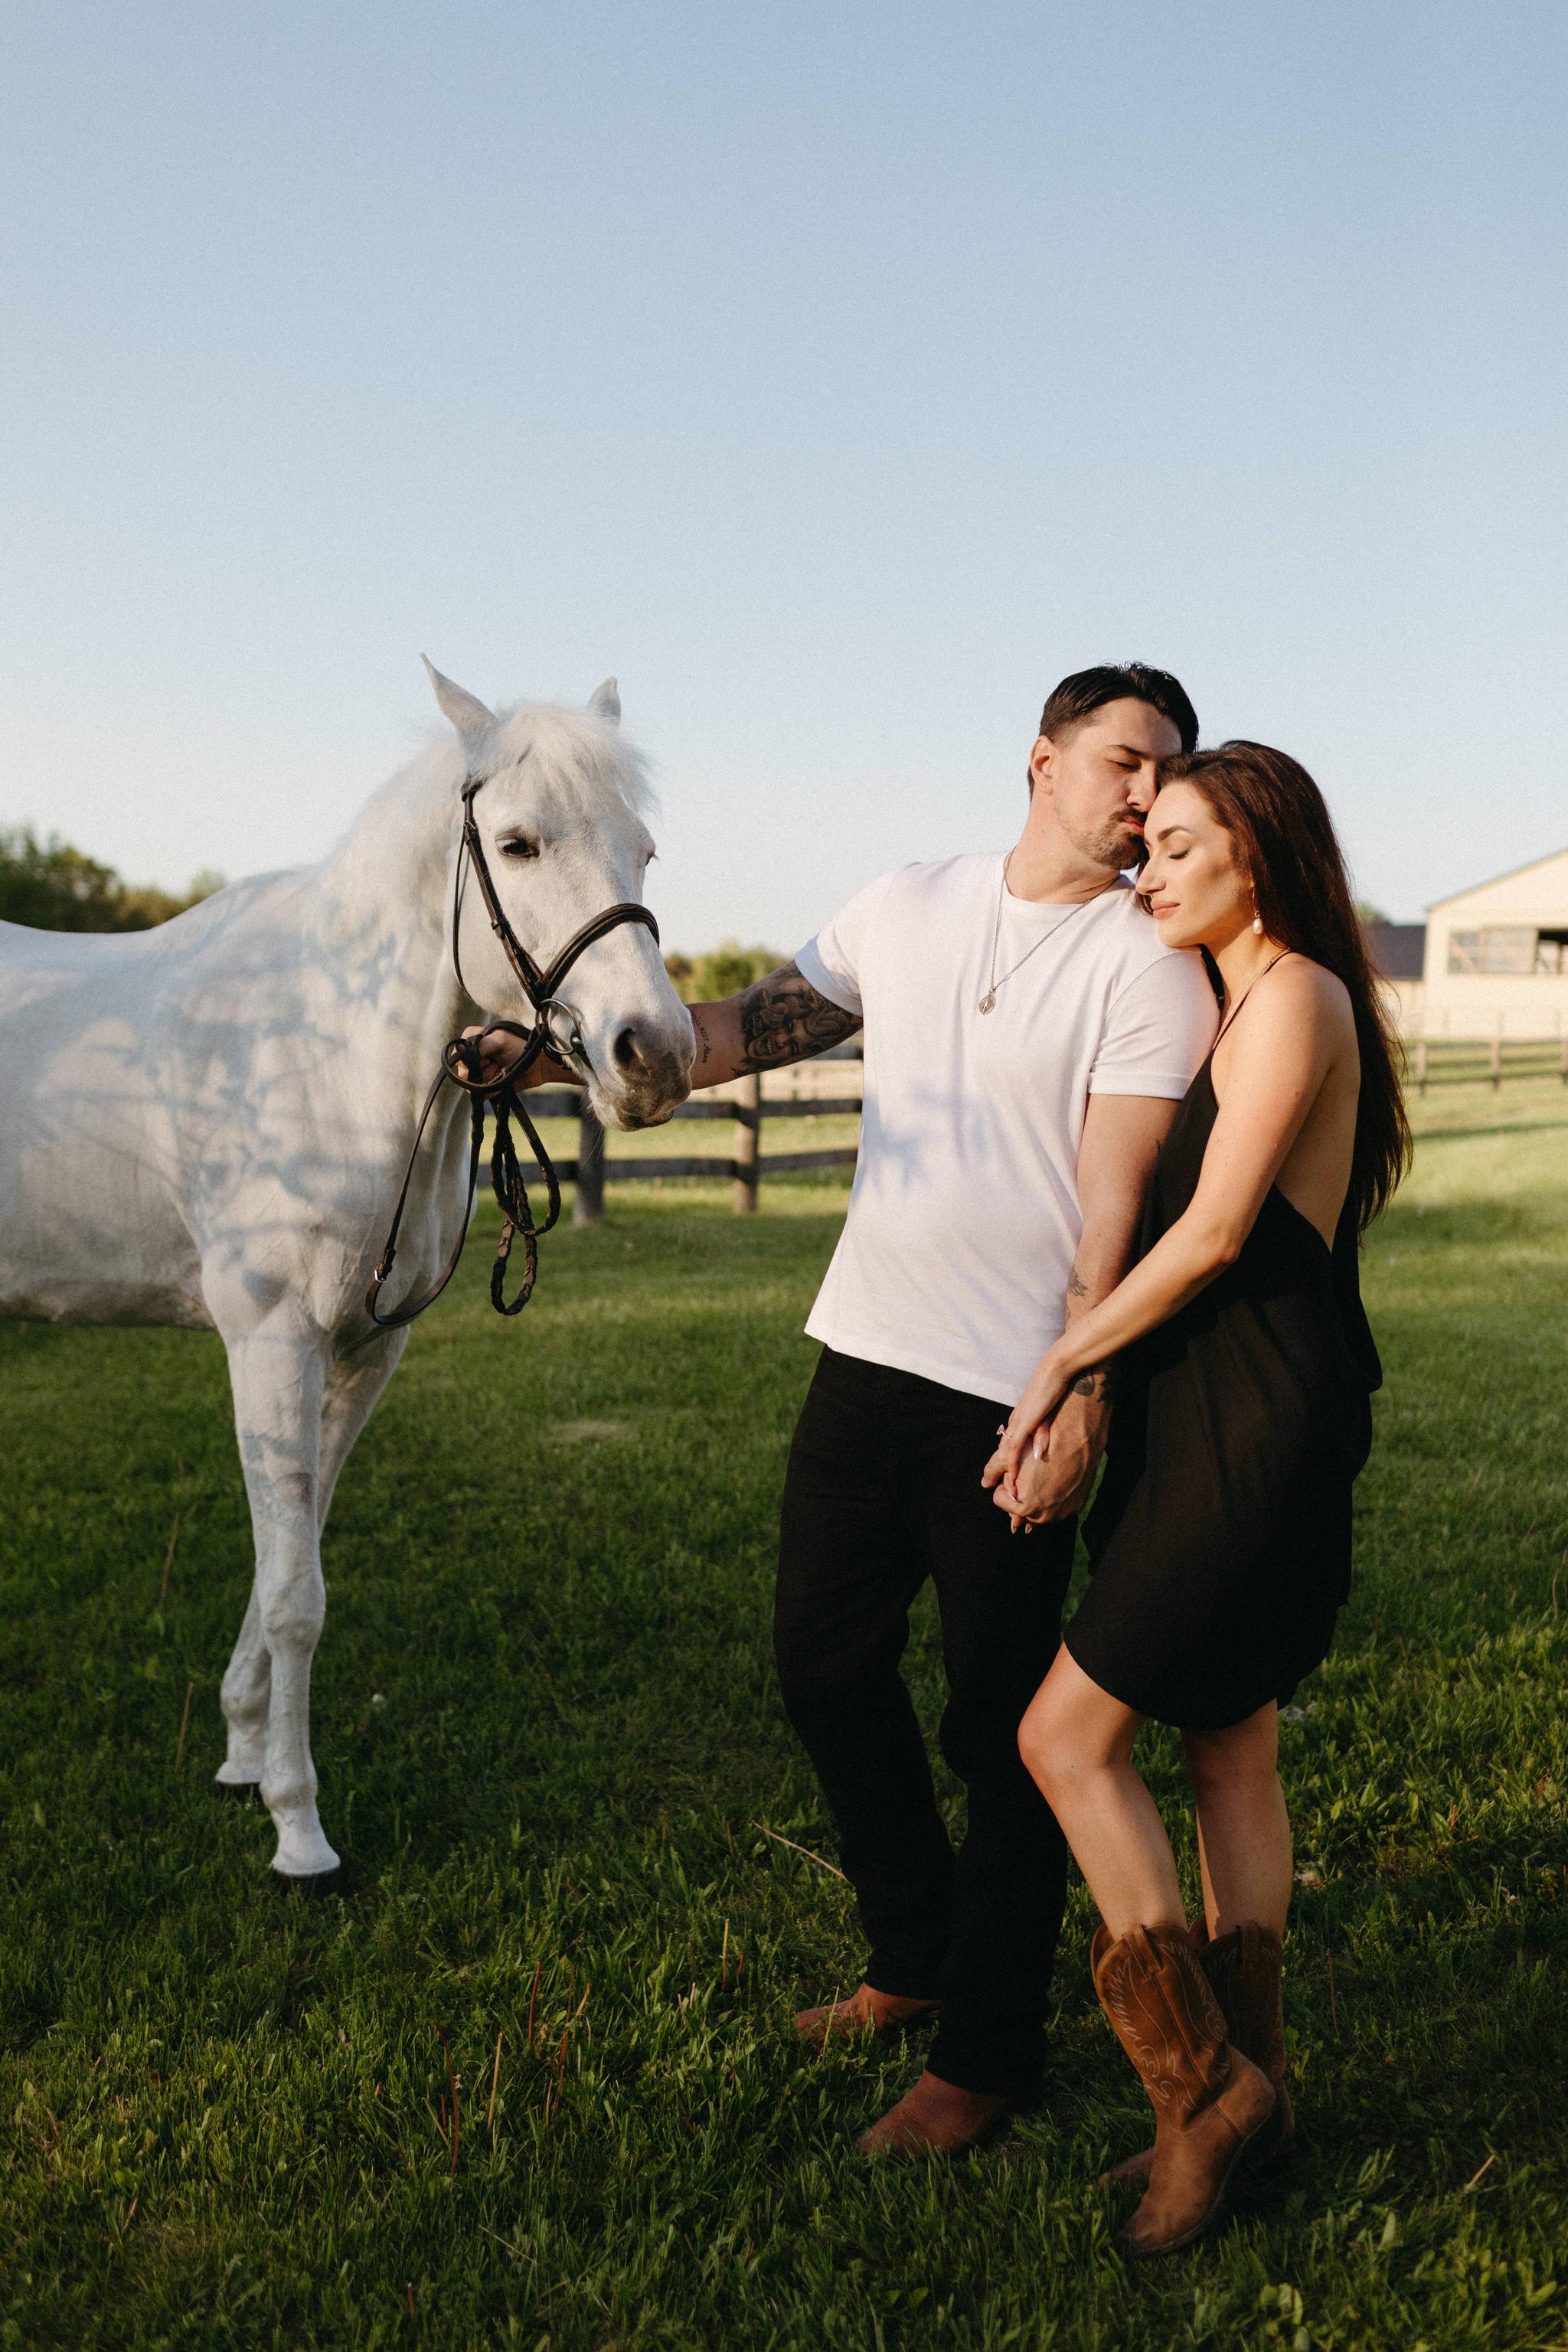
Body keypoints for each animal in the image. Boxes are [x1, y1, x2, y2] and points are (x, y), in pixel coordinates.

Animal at [0, 663, 691, 1890]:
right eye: (516, 844)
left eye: (644, 848)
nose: (654, 1057)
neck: (320, 1055)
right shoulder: (271, 1345)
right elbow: (295, 1600)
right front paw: (297, 1829)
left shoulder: (362, 1355)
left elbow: (294, 1554)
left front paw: (239, 1749)